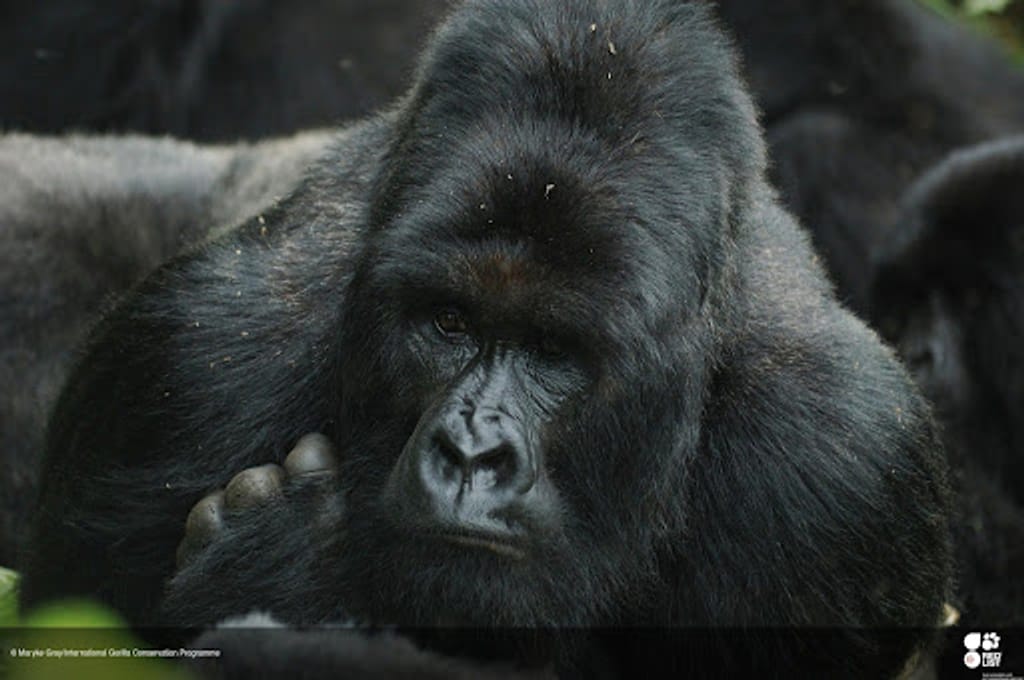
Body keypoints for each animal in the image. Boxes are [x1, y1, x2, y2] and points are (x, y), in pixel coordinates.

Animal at [22, 2, 950, 675]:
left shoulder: (843, 475)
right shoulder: (177, 375)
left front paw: (291, 571)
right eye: (449, 323)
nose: (471, 454)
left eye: (553, 352)